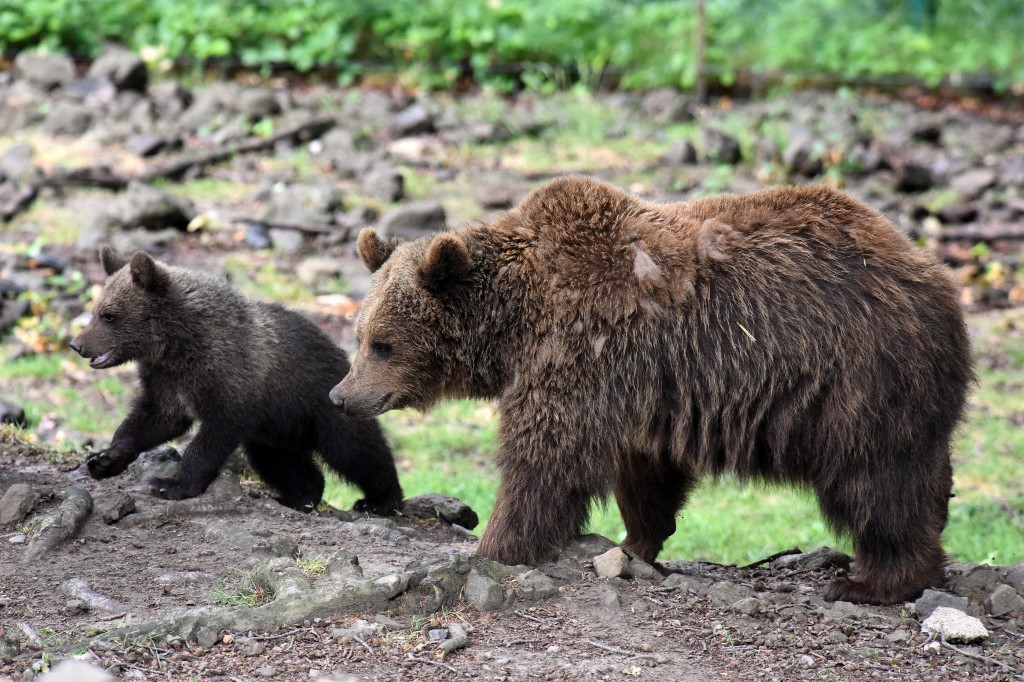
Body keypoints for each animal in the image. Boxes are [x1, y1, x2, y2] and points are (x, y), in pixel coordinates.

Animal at [331, 175, 970, 602]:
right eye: (359, 335)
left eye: (383, 344)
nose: (341, 396)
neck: (515, 322)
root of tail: (935, 275)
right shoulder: (639, 388)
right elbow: (643, 472)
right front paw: (634, 542)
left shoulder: (580, 349)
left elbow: (546, 455)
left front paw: (496, 544)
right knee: (921, 472)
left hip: (858, 377)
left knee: (876, 481)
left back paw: (873, 581)